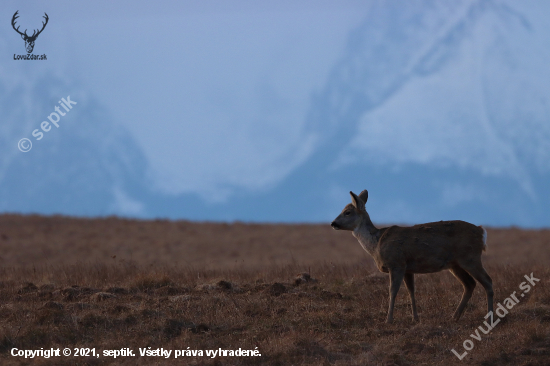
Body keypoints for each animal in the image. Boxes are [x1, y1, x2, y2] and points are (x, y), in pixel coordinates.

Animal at [332, 190, 496, 324]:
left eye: (347, 212)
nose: (333, 223)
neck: (376, 244)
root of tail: (482, 232)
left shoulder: (396, 263)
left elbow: (392, 290)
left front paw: (388, 319)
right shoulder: (408, 268)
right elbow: (411, 290)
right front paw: (415, 318)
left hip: (470, 257)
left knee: (487, 281)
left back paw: (489, 318)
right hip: (455, 264)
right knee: (469, 284)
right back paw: (454, 317)